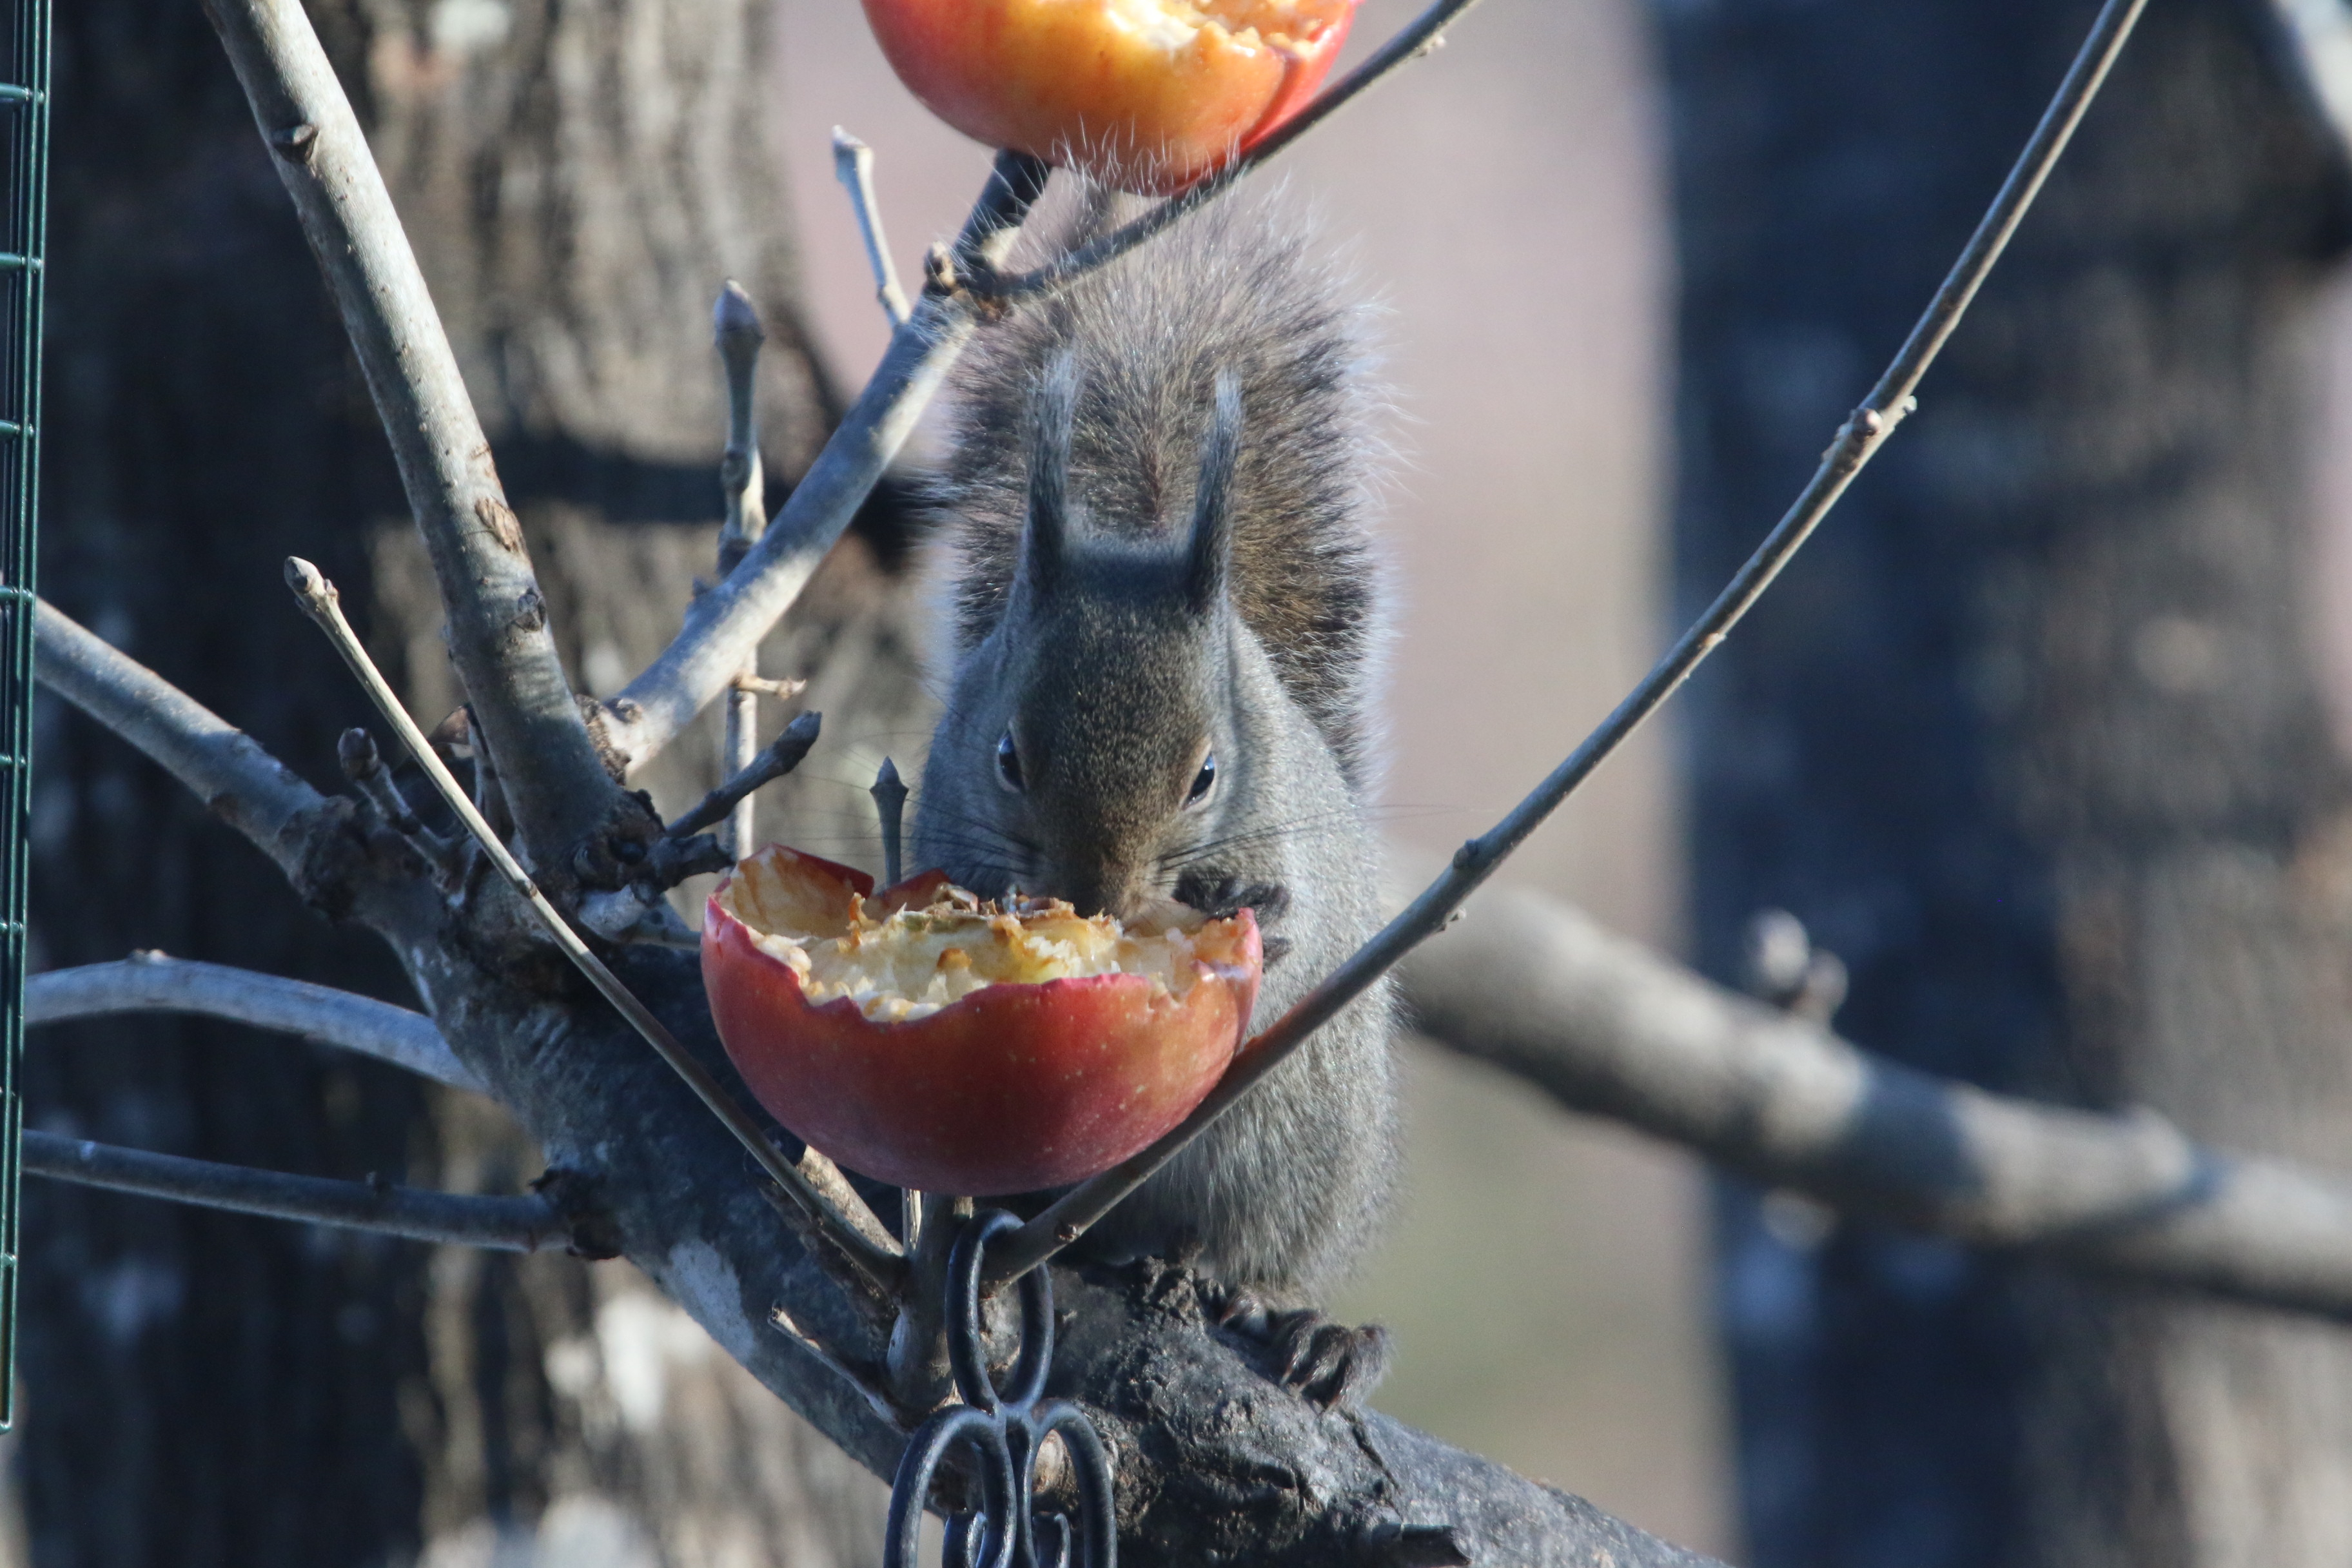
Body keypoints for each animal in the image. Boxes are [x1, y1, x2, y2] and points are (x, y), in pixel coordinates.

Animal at [912, 190, 1392, 1401]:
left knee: (1250, 1255)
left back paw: (1279, 1314)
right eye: (1006, 757)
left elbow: (1293, 928)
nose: (1095, 894)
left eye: (1208, 776)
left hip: (1298, 1156)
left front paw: (1255, 916)